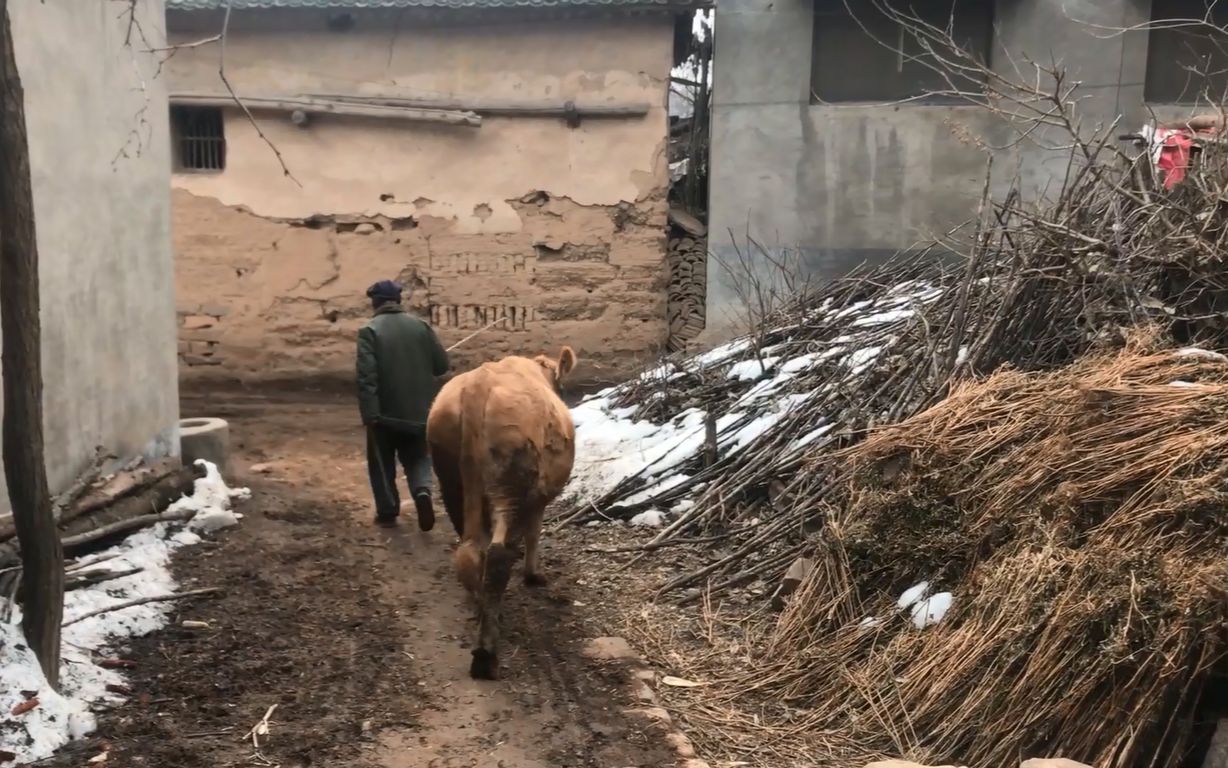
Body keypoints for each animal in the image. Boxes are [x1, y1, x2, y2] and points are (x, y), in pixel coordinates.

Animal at [424, 346, 577, 678]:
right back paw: (485, 654)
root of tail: (478, 383)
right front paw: (533, 575)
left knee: (471, 550)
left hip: (453, 482)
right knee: (497, 554)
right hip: (512, 487)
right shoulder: (537, 498)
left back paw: (482, 607)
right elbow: (534, 533)